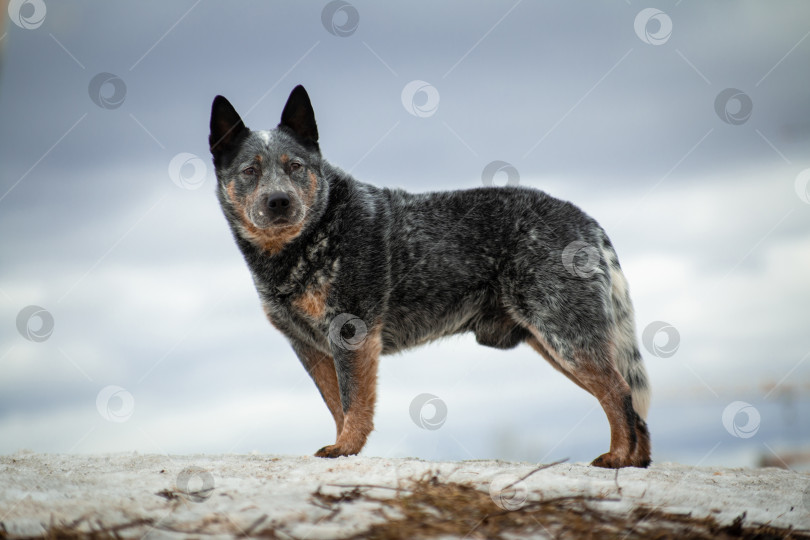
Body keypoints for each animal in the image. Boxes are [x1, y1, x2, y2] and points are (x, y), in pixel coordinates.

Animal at [208, 85, 652, 468]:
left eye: (295, 166)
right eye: (250, 170)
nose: (279, 201)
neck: (311, 236)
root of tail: (587, 221)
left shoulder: (352, 332)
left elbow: (354, 402)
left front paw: (347, 447)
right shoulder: (309, 347)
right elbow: (336, 404)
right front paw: (342, 445)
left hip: (565, 335)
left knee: (619, 391)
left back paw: (618, 457)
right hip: (553, 340)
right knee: (631, 400)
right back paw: (637, 461)